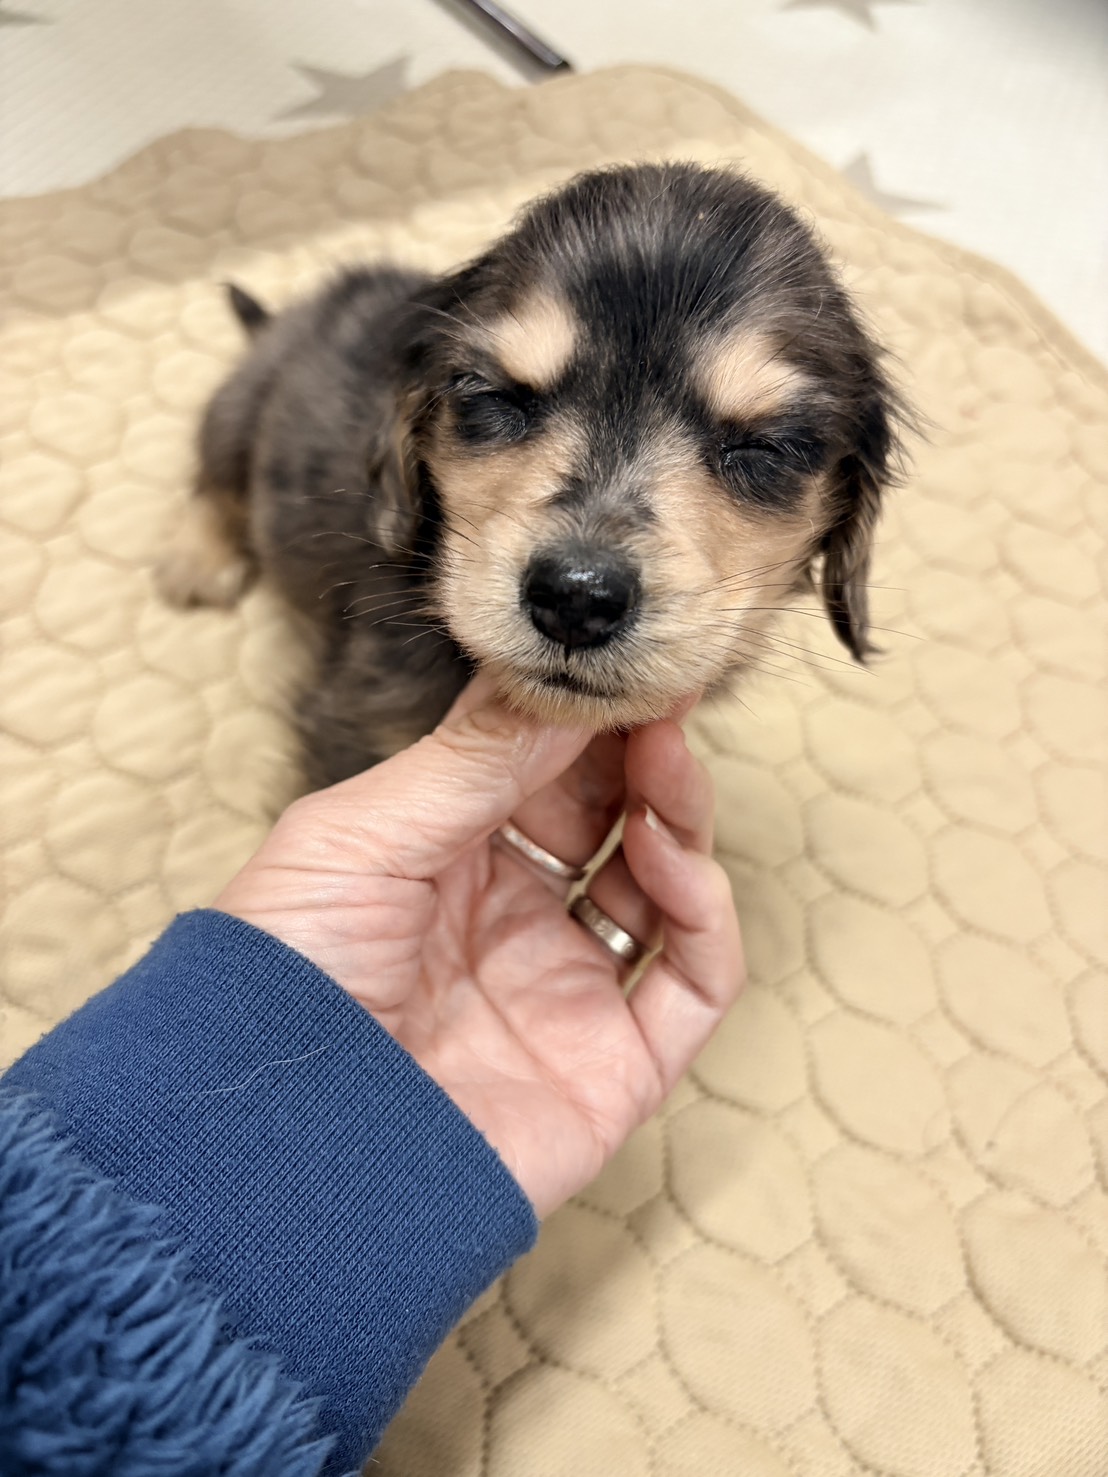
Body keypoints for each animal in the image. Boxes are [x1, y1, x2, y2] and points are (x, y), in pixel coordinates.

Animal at [158, 162, 904, 789]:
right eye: (494, 397)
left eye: (765, 449)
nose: (575, 598)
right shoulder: (355, 727)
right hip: (237, 409)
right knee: (213, 480)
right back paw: (200, 560)